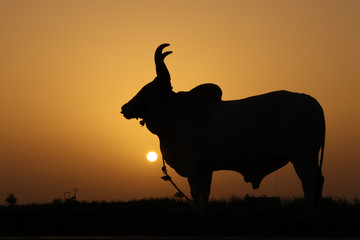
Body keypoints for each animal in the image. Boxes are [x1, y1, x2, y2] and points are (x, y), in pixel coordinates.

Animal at [121, 43, 326, 212]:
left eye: (148, 89)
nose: (125, 108)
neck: (178, 114)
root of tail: (313, 102)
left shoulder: (193, 163)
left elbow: (196, 192)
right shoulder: (206, 168)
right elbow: (205, 193)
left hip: (301, 155)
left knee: (309, 181)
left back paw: (307, 213)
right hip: (310, 154)